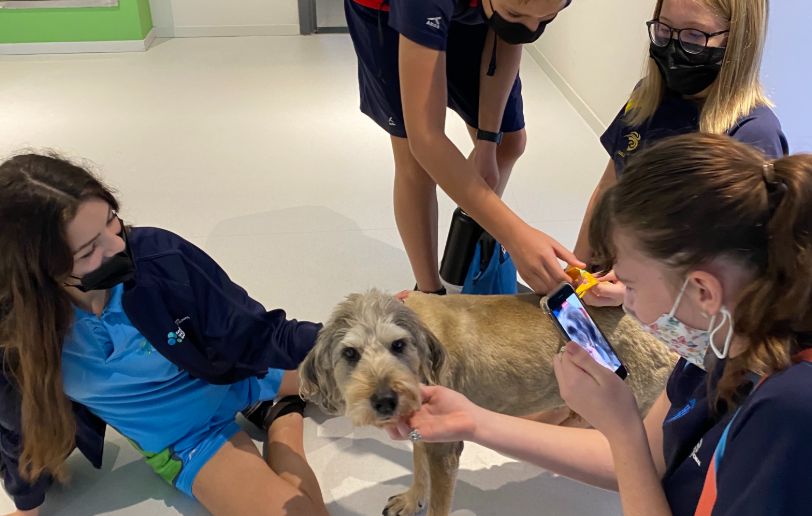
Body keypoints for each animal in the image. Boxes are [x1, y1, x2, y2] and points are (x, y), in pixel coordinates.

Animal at [298, 290, 672, 516]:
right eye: (350, 354)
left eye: (398, 345)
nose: (385, 401)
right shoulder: (424, 433)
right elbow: (418, 467)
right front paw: (412, 498)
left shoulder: (445, 448)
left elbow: (438, 501)